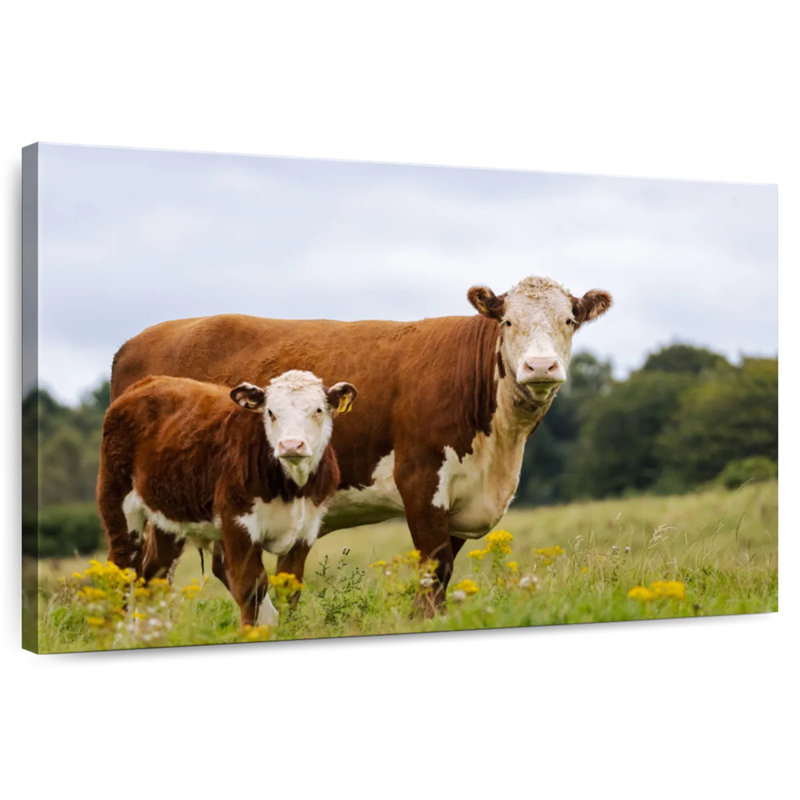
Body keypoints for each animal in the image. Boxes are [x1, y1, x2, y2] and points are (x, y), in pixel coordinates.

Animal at [96, 370, 357, 626]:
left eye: (318, 410)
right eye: (271, 412)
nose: (291, 445)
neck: (292, 488)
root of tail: (146, 383)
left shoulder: (306, 528)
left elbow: (289, 589)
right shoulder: (237, 522)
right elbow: (251, 587)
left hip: (168, 519)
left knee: (154, 577)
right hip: (118, 503)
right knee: (120, 571)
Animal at [110, 276, 612, 613]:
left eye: (570, 320)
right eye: (508, 321)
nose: (541, 366)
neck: (500, 451)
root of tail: (137, 340)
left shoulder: (463, 499)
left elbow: (444, 573)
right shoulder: (420, 482)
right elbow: (434, 571)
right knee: (144, 568)